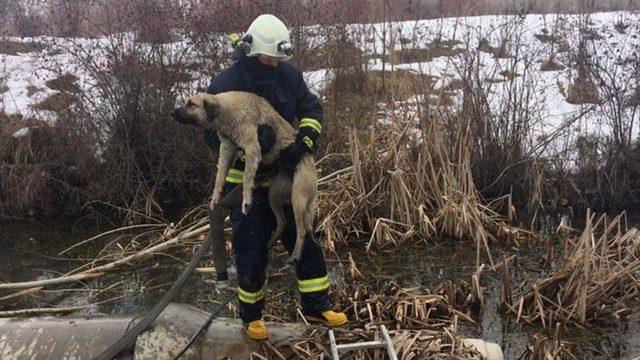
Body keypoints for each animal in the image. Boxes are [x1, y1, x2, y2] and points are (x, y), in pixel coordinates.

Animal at [171, 90, 318, 264]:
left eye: (191, 104)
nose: (171, 112)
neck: (225, 113)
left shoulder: (252, 147)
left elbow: (247, 177)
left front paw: (246, 200)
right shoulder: (227, 149)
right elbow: (220, 176)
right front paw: (215, 197)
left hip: (298, 198)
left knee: (302, 230)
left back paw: (296, 254)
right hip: (273, 196)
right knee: (282, 223)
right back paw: (270, 243)